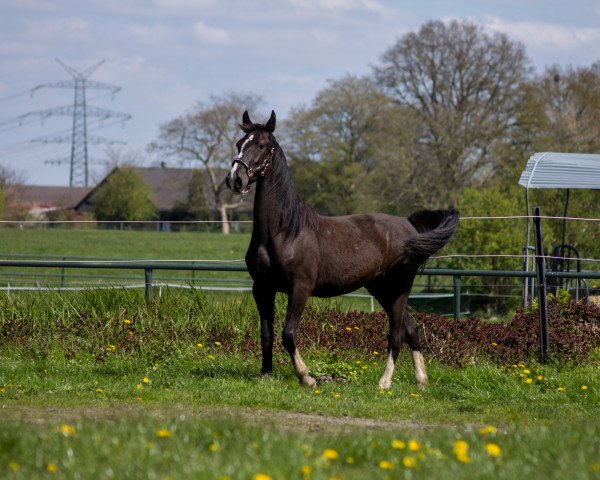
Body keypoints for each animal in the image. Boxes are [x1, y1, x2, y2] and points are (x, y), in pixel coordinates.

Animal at [225, 110, 460, 388]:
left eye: (261, 145)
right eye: (239, 144)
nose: (235, 180)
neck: (284, 231)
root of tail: (408, 224)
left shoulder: (300, 288)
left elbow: (288, 333)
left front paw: (307, 377)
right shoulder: (262, 288)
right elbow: (266, 334)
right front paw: (266, 375)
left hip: (400, 288)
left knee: (396, 335)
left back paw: (384, 382)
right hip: (382, 290)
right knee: (410, 329)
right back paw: (421, 380)